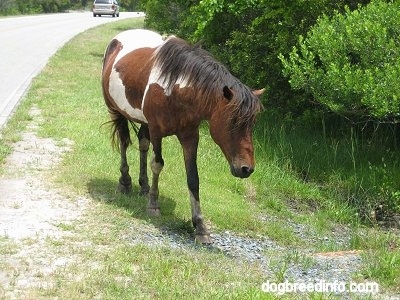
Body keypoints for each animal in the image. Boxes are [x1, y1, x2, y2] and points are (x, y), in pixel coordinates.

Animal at [101, 28, 262, 244]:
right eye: (233, 122)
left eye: (252, 124)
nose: (246, 169)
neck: (176, 89)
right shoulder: (157, 131)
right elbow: (157, 165)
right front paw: (153, 204)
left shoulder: (190, 136)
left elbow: (193, 178)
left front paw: (200, 226)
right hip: (116, 111)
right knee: (124, 143)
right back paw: (125, 182)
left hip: (144, 122)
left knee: (142, 145)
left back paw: (143, 186)